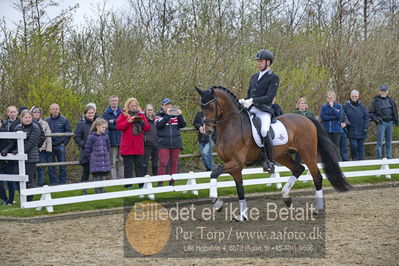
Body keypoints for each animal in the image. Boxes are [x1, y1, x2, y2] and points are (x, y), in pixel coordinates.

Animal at [195, 86, 352, 221]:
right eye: (201, 107)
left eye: (210, 107)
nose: (207, 130)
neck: (231, 126)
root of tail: (306, 118)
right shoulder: (235, 167)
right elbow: (240, 189)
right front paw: (243, 215)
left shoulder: (235, 163)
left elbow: (214, 172)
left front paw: (217, 203)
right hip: (282, 155)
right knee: (298, 168)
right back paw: (286, 197)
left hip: (308, 154)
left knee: (317, 176)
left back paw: (317, 209)